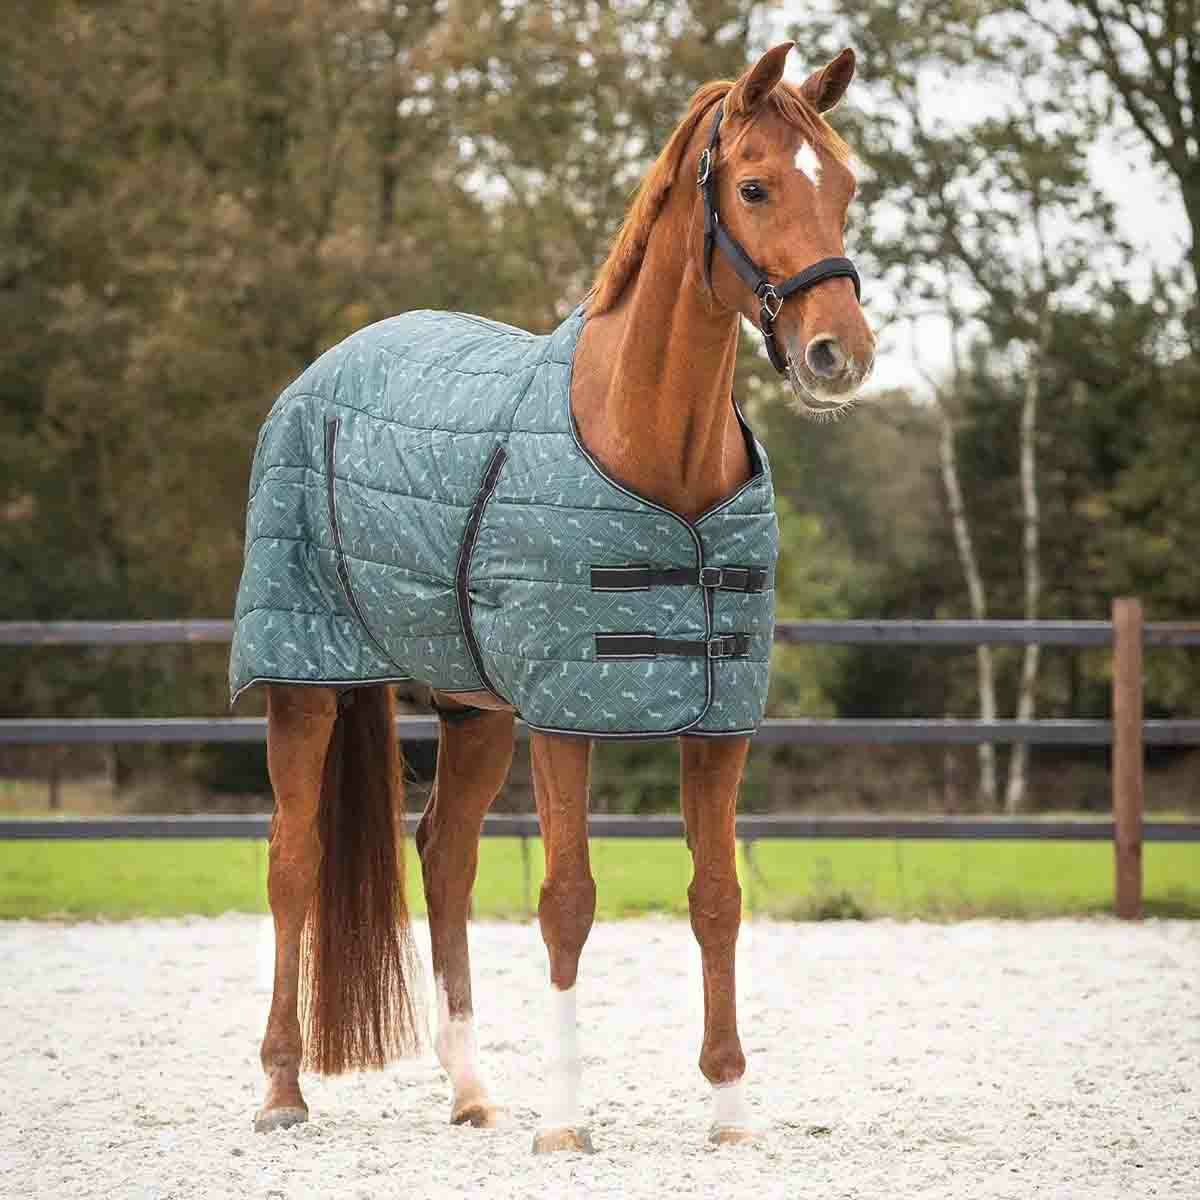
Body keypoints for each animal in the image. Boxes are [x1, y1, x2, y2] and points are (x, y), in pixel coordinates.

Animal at [243, 41, 874, 1153]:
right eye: (755, 186)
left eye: (844, 188)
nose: (839, 354)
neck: (656, 457)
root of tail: (324, 372)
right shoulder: (566, 717)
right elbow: (568, 900)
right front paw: (570, 1124)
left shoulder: (718, 723)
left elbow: (718, 897)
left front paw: (729, 1110)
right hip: (303, 679)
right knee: (293, 861)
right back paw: (283, 1089)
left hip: (475, 709)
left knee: (443, 858)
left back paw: (470, 1090)